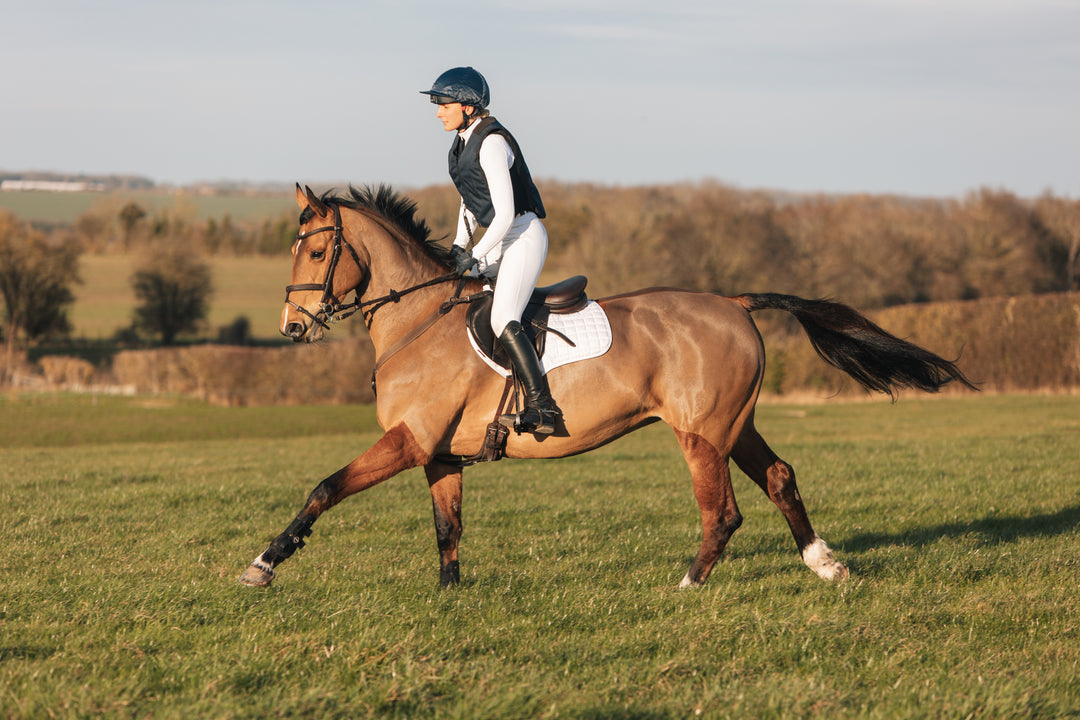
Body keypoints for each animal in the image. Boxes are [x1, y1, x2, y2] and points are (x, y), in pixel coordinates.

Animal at [239, 183, 975, 590]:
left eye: (315, 251)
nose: (292, 326)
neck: (417, 320)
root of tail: (733, 301)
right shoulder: (439, 452)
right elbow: (447, 526)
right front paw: (450, 595)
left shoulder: (408, 441)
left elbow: (324, 487)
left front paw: (264, 563)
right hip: (733, 425)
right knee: (780, 477)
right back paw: (825, 566)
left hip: (700, 433)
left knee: (723, 511)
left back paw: (687, 585)